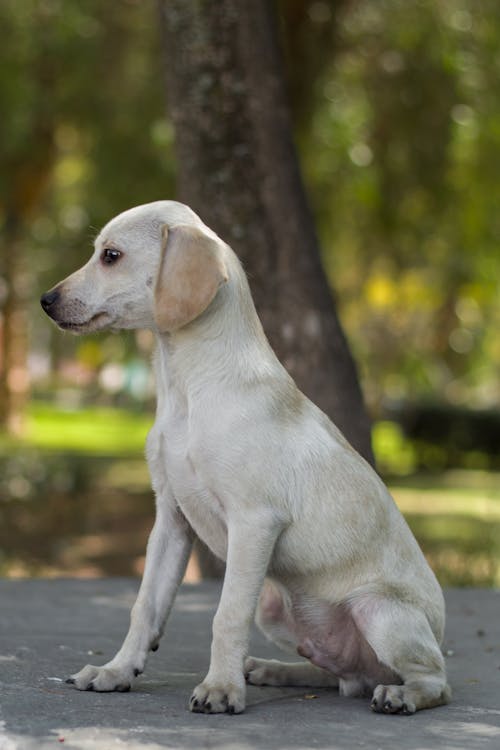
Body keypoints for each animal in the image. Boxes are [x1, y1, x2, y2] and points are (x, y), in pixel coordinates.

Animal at [41, 200, 452, 716]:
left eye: (110, 256)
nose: (45, 299)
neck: (188, 390)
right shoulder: (171, 520)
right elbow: (145, 607)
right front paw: (116, 671)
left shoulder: (255, 522)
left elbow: (226, 615)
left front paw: (220, 688)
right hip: (275, 606)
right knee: (342, 676)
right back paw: (272, 669)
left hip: (379, 612)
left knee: (431, 681)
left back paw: (399, 695)